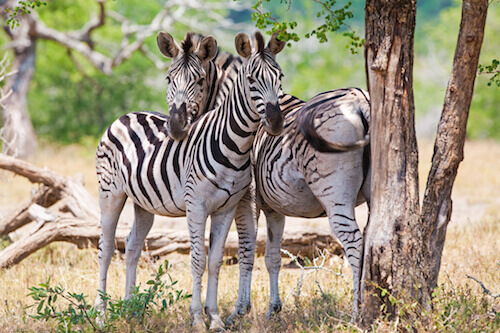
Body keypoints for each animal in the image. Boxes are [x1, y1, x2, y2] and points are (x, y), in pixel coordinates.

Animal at [95, 31, 288, 330]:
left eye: (279, 77)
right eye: (251, 79)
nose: (276, 122)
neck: (235, 144)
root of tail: (125, 115)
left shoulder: (227, 207)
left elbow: (217, 260)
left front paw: (216, 318)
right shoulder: (196, 205)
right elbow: (198, 259)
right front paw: (197, 318)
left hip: (144, 203)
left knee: (132, 245)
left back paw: (130, 309)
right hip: (110, 193)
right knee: (105, 249)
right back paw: (101, 315)